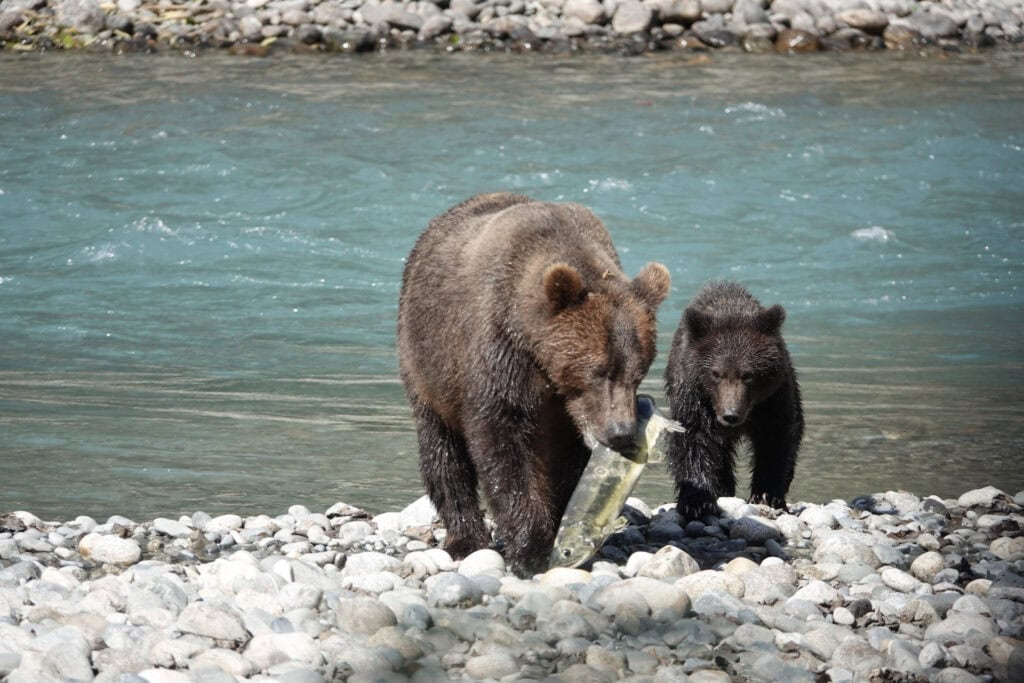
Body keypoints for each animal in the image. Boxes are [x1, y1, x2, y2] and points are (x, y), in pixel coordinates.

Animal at [397, 192, 671, 576]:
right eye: (598, 371)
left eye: (639, 372)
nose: (620, 432)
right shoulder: (500, 353)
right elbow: (503, 445)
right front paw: (531, 550)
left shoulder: (566, 413)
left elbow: (568, 461)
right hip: (426, 362)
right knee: (442, 452)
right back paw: (465, 538)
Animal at [663, 280, 803, 522]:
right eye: (715, 373)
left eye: (748, 374)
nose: (730, 415)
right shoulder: (693, 396)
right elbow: (693, 439)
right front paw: (697, 502)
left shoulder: (774, 398)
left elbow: (776, 439)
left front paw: (766, 494)